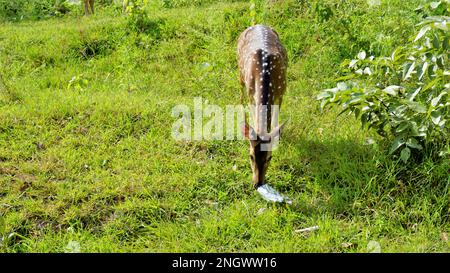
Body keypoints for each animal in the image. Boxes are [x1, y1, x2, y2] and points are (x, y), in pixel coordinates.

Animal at [237, 25, 290, 202]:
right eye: (251, 156)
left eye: (270, 158)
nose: (257, 184)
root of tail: (258, 24)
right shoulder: (251, 93)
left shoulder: (281, 92)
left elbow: (274, 122)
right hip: (240, 75)